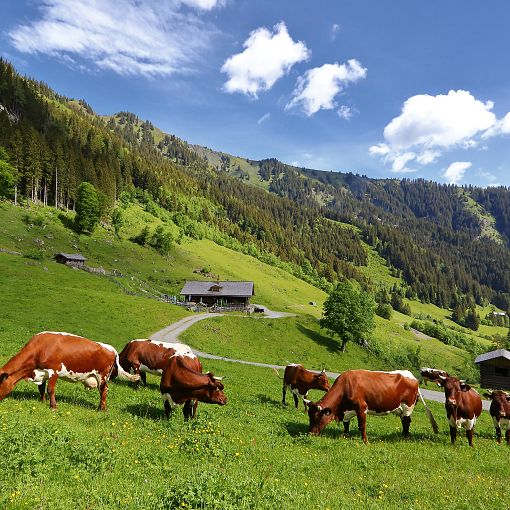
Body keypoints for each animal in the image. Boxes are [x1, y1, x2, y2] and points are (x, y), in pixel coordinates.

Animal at [0, 330, 138, 410]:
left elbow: (50, 389)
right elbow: (41, 388)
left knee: (103, 391)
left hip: (102, 376)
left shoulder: (54, 370)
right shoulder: (41, 372)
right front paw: (42, 401)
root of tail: (111, 348)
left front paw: (53, 407)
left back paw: (101, 409)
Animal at [304, 368, 436, 444]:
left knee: (407, 422)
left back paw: (405, 437)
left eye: (318, 418)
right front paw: (345, 436)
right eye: (309, 417)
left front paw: (365, 442)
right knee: (404, 421)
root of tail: (412, 376)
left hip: (408, 407)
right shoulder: (347, 411)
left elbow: (362, 426)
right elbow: (346, 424)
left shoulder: (361, 408)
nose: (310, 434)